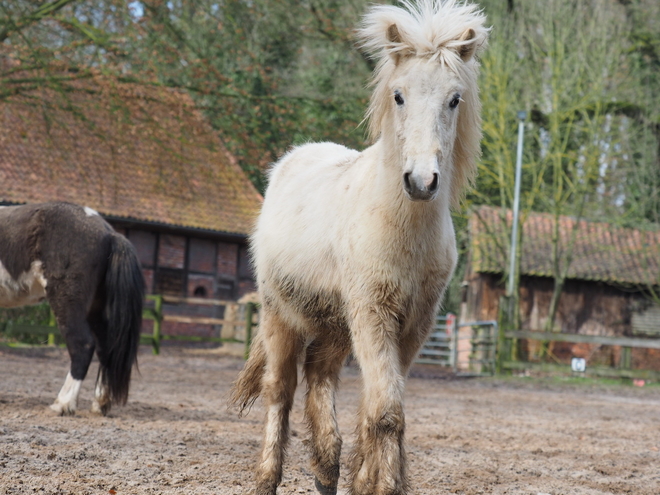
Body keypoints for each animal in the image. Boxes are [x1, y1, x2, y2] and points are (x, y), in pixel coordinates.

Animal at [0, 202, 144, 414]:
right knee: (105, 348)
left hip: (67, 301)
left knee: (82, 344)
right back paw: (100, 403)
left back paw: (64, 403)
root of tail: (108, 233)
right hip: (95, 309)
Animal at [229, 1, 488, 494]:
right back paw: (267, 478)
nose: (422, 181)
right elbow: (386, 412)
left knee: (318, 377)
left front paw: (370, 479)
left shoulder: (414, 323)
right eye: (399, 96)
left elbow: (378, 409)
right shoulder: (372, 313)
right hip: (278, 314)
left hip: (334, 325)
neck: (402, 229)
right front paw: (381, 484)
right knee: (280, 390)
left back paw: (326, 470)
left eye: (454, 99)